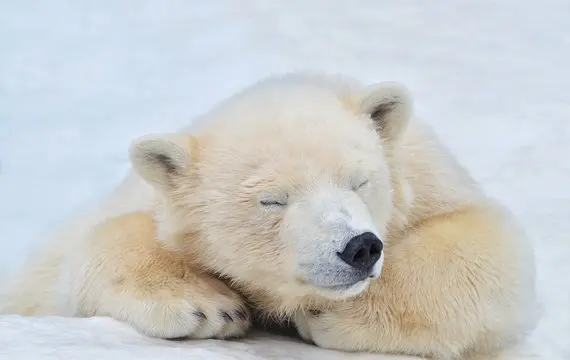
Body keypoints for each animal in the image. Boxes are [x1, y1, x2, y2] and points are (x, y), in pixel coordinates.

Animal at [1, 74, 536, 360]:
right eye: (272, 200)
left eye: (359, 181)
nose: (359, 247)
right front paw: (210, 305)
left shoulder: (427, 175)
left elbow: (489, 248)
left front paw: (329, 314)